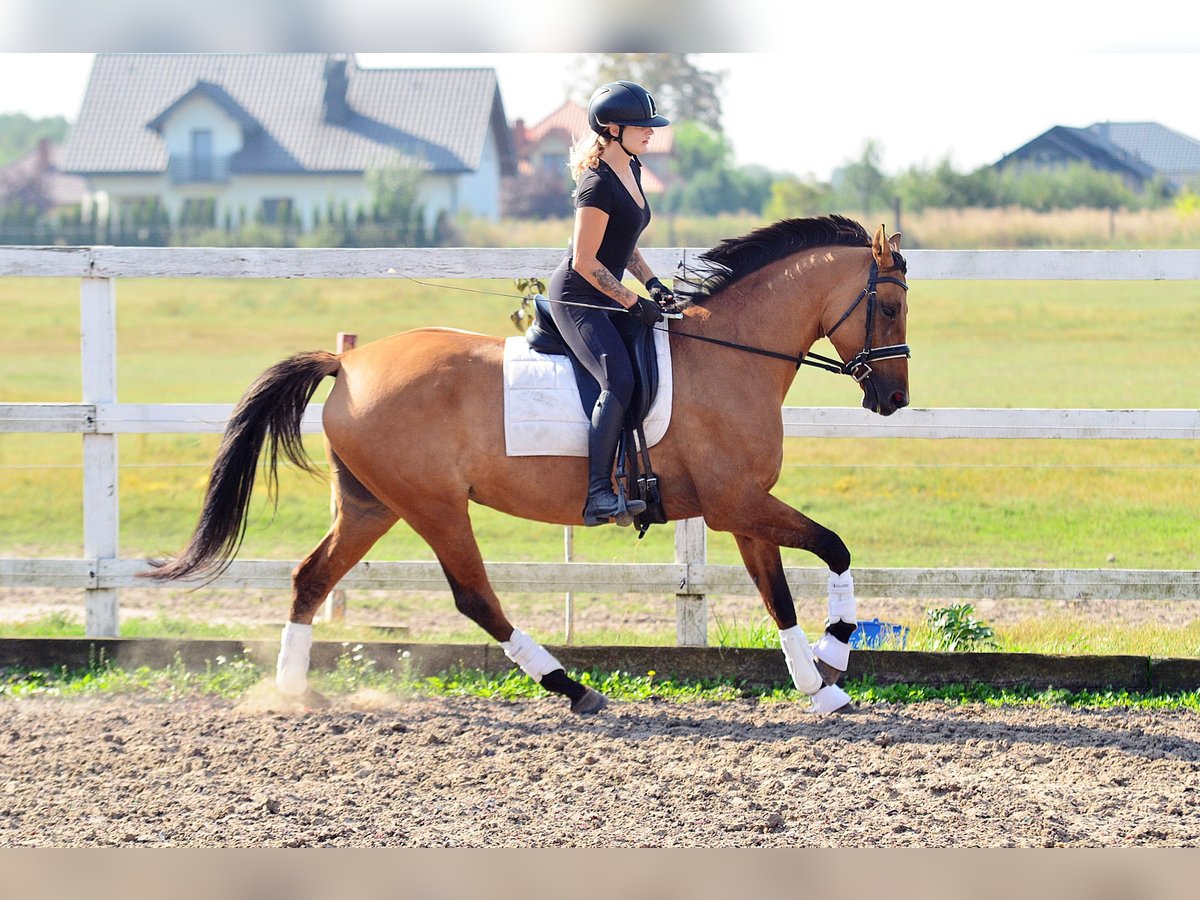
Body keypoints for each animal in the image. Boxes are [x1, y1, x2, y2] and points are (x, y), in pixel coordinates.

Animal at [147, 214, 907, 715]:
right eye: (893, 306)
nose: (894, 399)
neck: (731, 354)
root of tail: (348, 364)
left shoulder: (743, 508)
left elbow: (778, 593)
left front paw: (818, 683)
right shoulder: (737, 505)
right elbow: (834, 550)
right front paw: (836, 657)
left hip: (371, 503)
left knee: (311, 578)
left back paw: (289, 694)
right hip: (432, 505)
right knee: (474, 597)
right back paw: (571, 688)